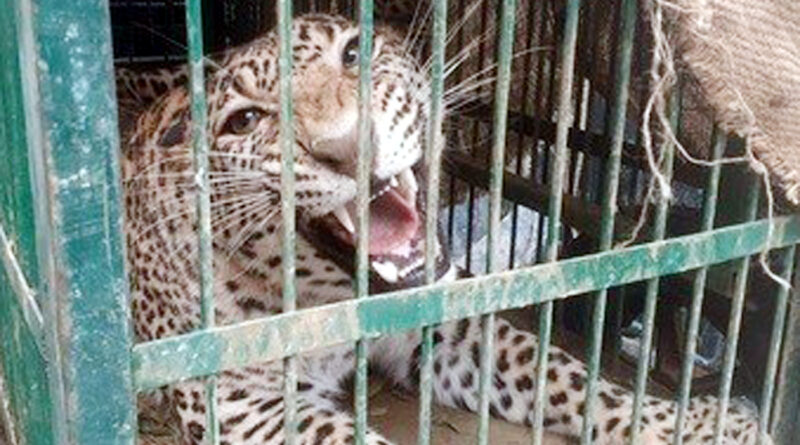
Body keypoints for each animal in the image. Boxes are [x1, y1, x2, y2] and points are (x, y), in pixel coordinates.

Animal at [119, 12, 768, 445]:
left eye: (353, 54)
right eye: (245, 121)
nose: (347, 146)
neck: (329, 296)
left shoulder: (447, 332)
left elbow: (567, 377)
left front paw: (701, 422)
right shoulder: (241, 405)